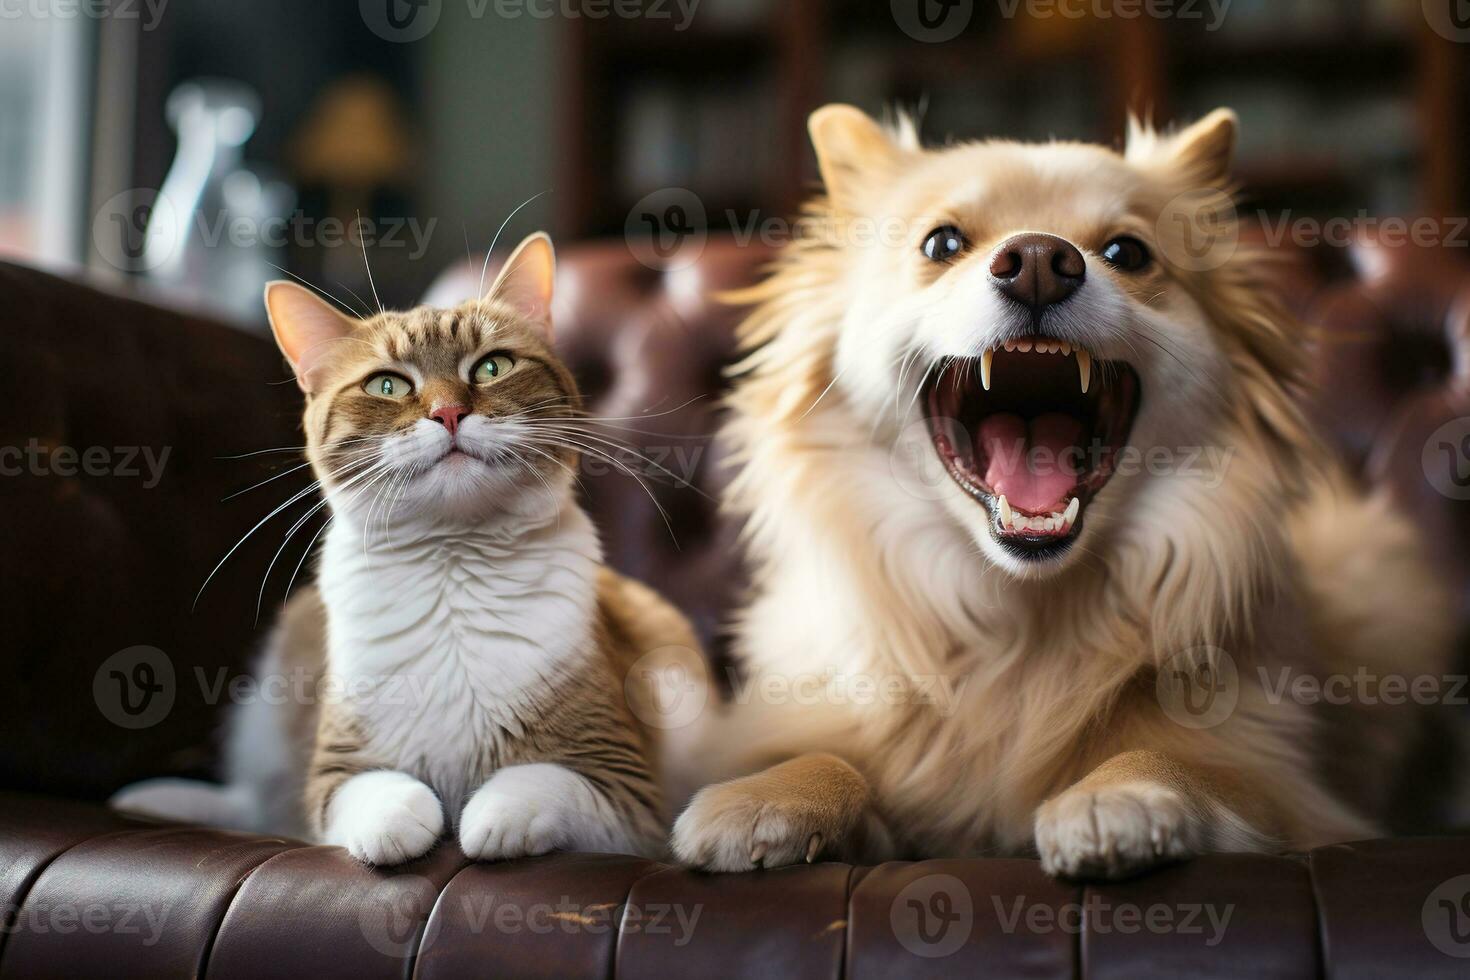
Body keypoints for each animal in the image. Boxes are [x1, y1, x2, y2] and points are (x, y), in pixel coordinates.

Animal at [111, 232, 696, 863]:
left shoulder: (628, 790)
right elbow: (377, 793)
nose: (448, 412)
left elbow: (535, 783)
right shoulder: (336, 772)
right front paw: (396, 826)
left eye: (492, 366)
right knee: (257, 805)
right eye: (386, 385)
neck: (452, 562)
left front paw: (488, 819)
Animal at [673, 103, 1464, 875]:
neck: (1024, 619)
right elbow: (834, 758)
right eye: (941, 244)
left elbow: (1186, 760)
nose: (1037, 262)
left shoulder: (1284, 785)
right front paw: (769, 793)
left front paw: (1121, 794)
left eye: (1127, 253)